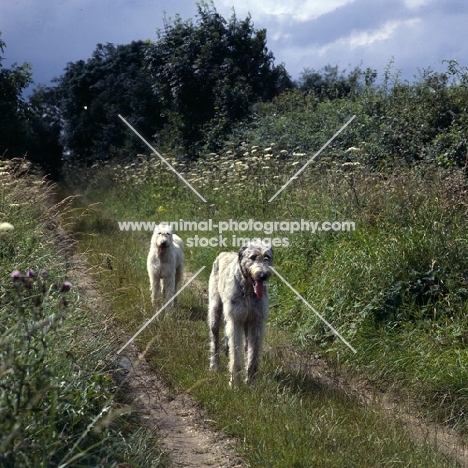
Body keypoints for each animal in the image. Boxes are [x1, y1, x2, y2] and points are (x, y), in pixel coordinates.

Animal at [208, 239, 274, 386]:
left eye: (267, 257)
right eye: (253, 257)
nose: (263, 276)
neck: (248, 290)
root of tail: (223, 253)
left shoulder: (256, 322)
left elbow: (253, 355)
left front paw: (251, 383)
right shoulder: (235, 321)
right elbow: (236, 354)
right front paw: (235, 383)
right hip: (215, 309)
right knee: (215, 338)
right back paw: (214, 365)